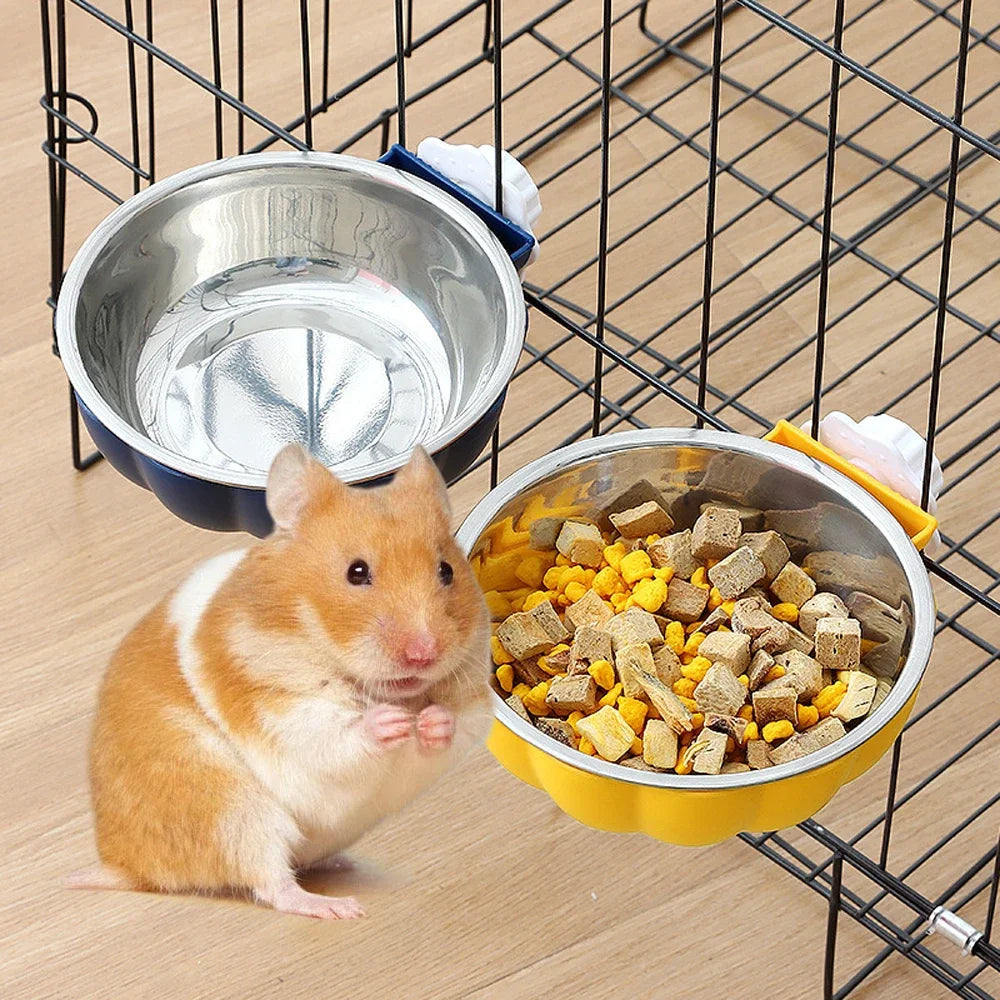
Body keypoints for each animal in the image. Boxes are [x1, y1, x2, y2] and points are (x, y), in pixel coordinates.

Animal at [67, 445, 491, 919]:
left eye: (446, 570)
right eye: (356, 572)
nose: (424, 652)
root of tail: (123, 864)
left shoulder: (471, 709)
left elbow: (454, 726)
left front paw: (432, 720)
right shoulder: (282, 712)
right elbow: (337, 735)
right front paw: (391, 723)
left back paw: (344, 865)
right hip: (234, 813)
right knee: (273, 884)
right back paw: (341, 908)